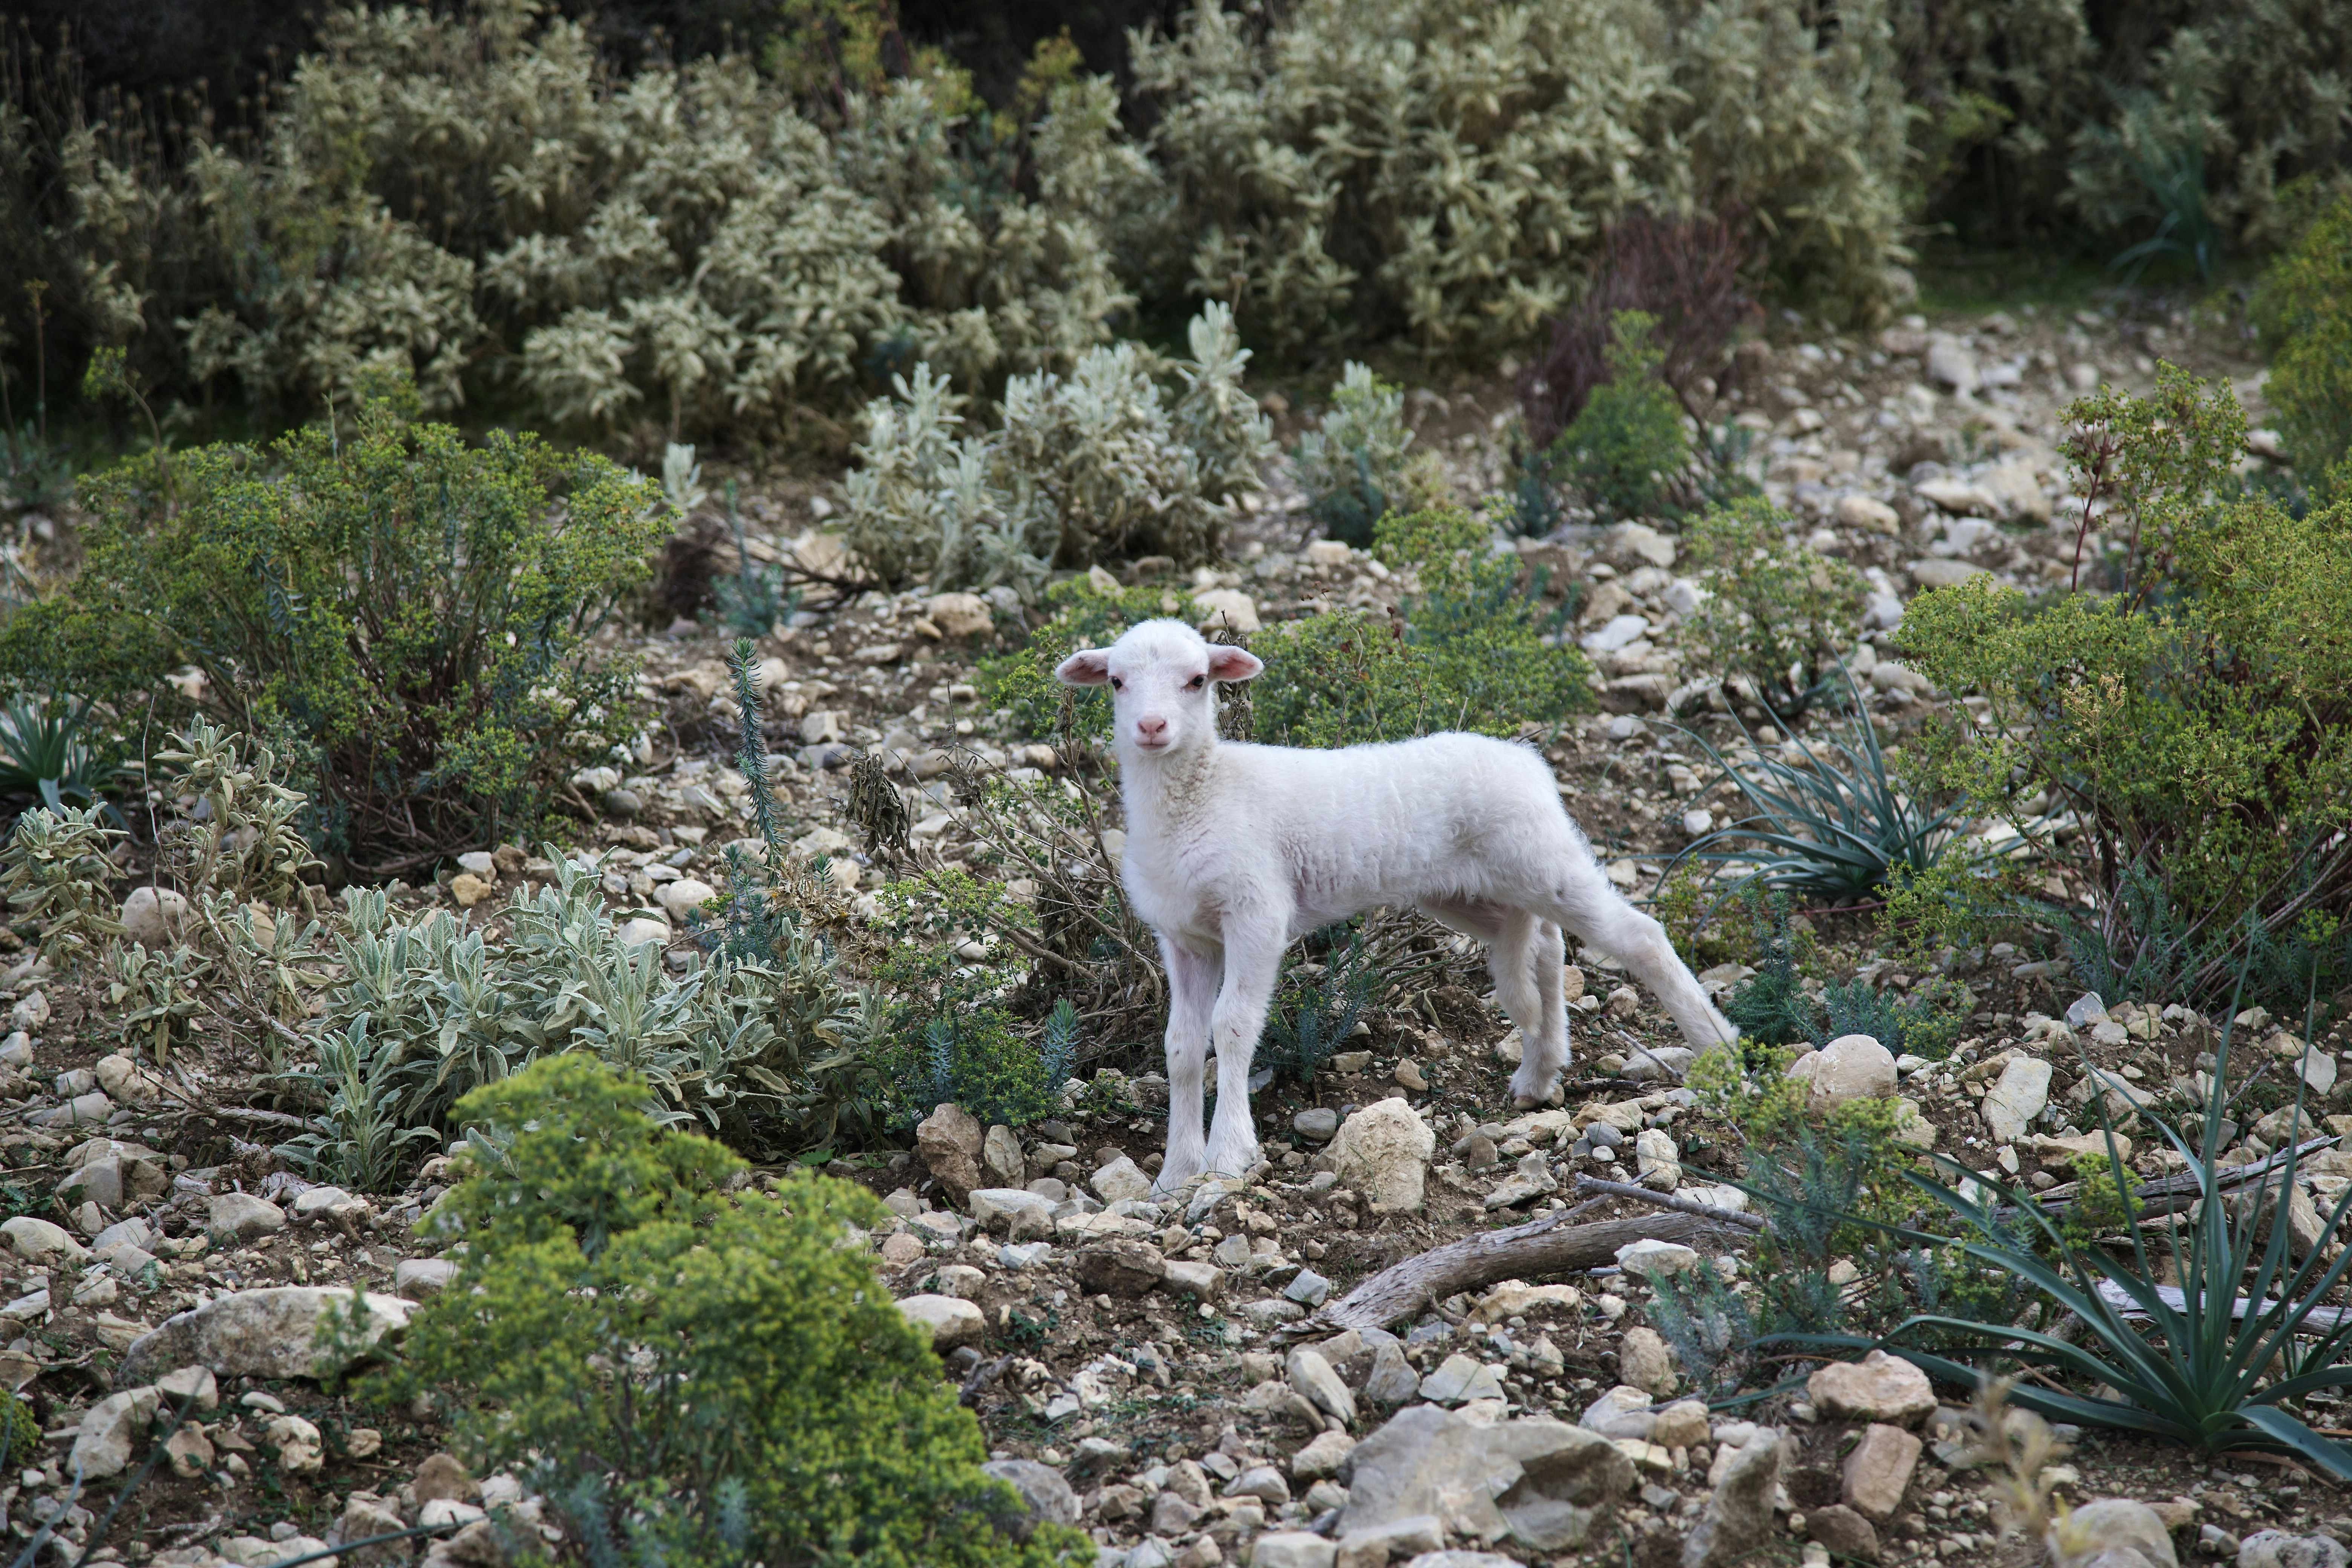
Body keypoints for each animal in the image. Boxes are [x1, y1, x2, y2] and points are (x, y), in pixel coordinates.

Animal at [1056, 617, 1737, 1195]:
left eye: (1197, 680)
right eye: (1116, 681)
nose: (1151, 728)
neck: (1201, 793)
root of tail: (1527, 759)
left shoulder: (1256, 914)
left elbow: (1232, 1027)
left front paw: (1227, 1157)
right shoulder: (1186, 938)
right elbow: (1181, 1044)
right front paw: (1176, 1172)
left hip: (1539, 857)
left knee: (1638, 935)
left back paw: (1719, 1052)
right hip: (1470, 889)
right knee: (1542, 942)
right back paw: (1541, 1070)